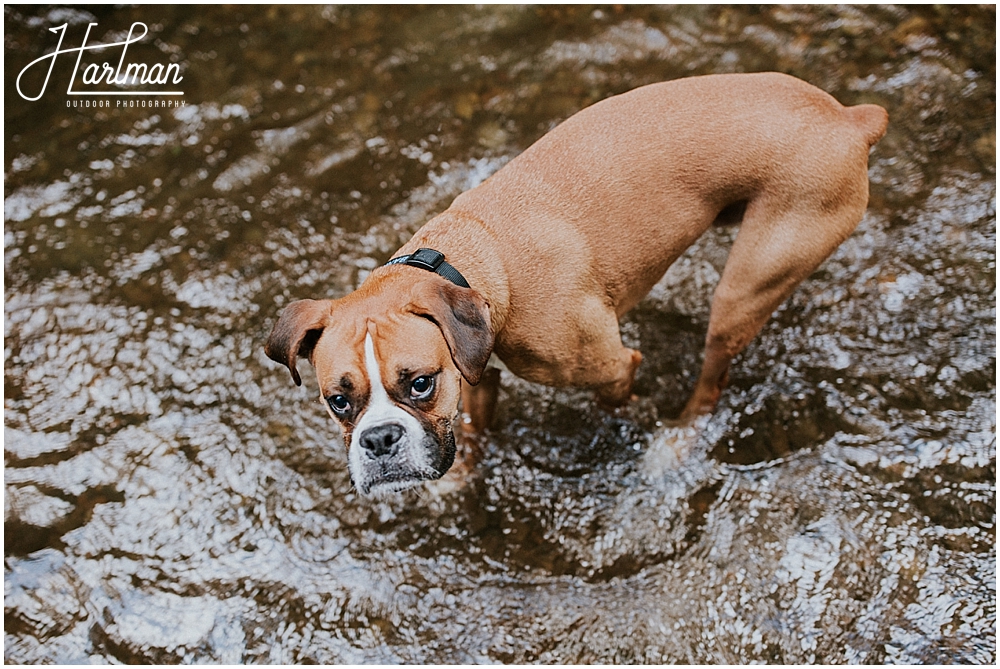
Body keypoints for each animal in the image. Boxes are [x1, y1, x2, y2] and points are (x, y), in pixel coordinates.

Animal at [268, 73, 892, 496]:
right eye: (339, 401)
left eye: (419, 384)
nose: (379, 440)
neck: (475, 257)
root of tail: (849, 117)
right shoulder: (478, 375)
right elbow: (475, 427)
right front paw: (462, 476)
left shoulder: (614, 367)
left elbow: (621, 402)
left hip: (746, 286)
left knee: (711, 383)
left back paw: (672, 446)